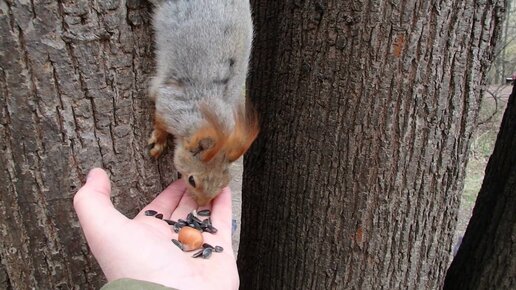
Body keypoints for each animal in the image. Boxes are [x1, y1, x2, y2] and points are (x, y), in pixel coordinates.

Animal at [146, 0, 258, 205]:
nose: (202, 205)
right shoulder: (170, 103)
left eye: (224, 183)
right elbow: (160, 121)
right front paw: (159, 142)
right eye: (192, 180)